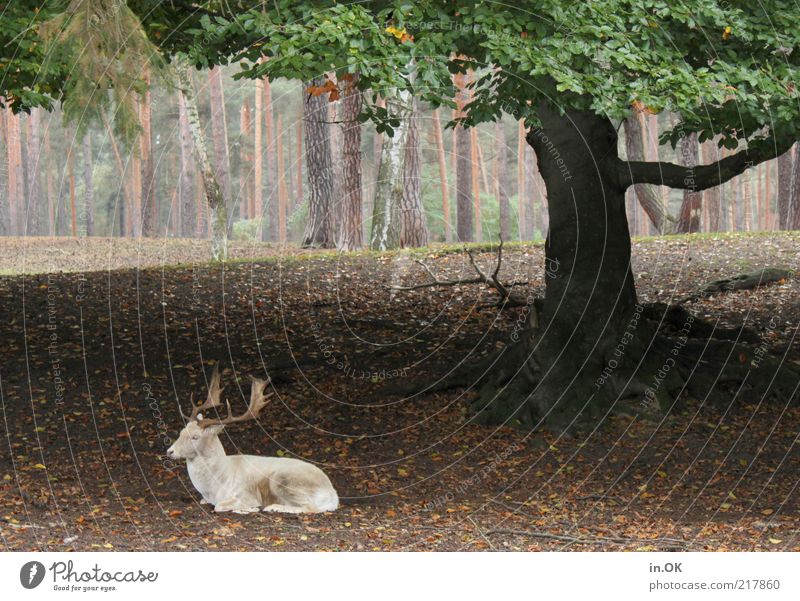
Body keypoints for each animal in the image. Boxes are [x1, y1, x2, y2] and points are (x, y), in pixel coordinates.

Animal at [167, 368, 340, 512]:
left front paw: (249, 509)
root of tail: (333, 495)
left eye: (195, 436)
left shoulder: (244, 494)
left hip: (283, 479)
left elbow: (220, 506)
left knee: (310, 508)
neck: (213, 487)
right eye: (181, 432)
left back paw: (272, 507)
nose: (170, 451)